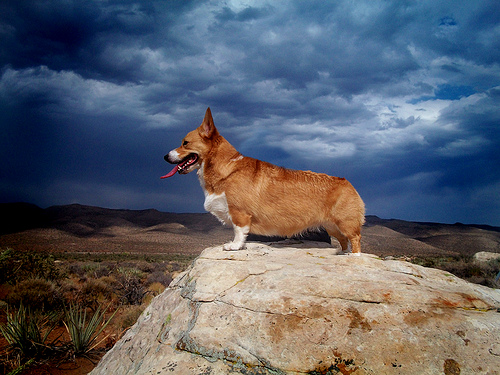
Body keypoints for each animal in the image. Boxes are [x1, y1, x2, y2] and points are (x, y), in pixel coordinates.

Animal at [162, 108, 366, 256]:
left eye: (185, 143)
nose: (165, 156)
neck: (225, 165)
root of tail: (347, 182)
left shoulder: (239, 213)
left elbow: (238, 232)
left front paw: (234, 246)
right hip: (332, 226)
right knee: (344, 240)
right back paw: (342, 254)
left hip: (345, 222)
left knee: (355, 238)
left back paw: (354, 257)